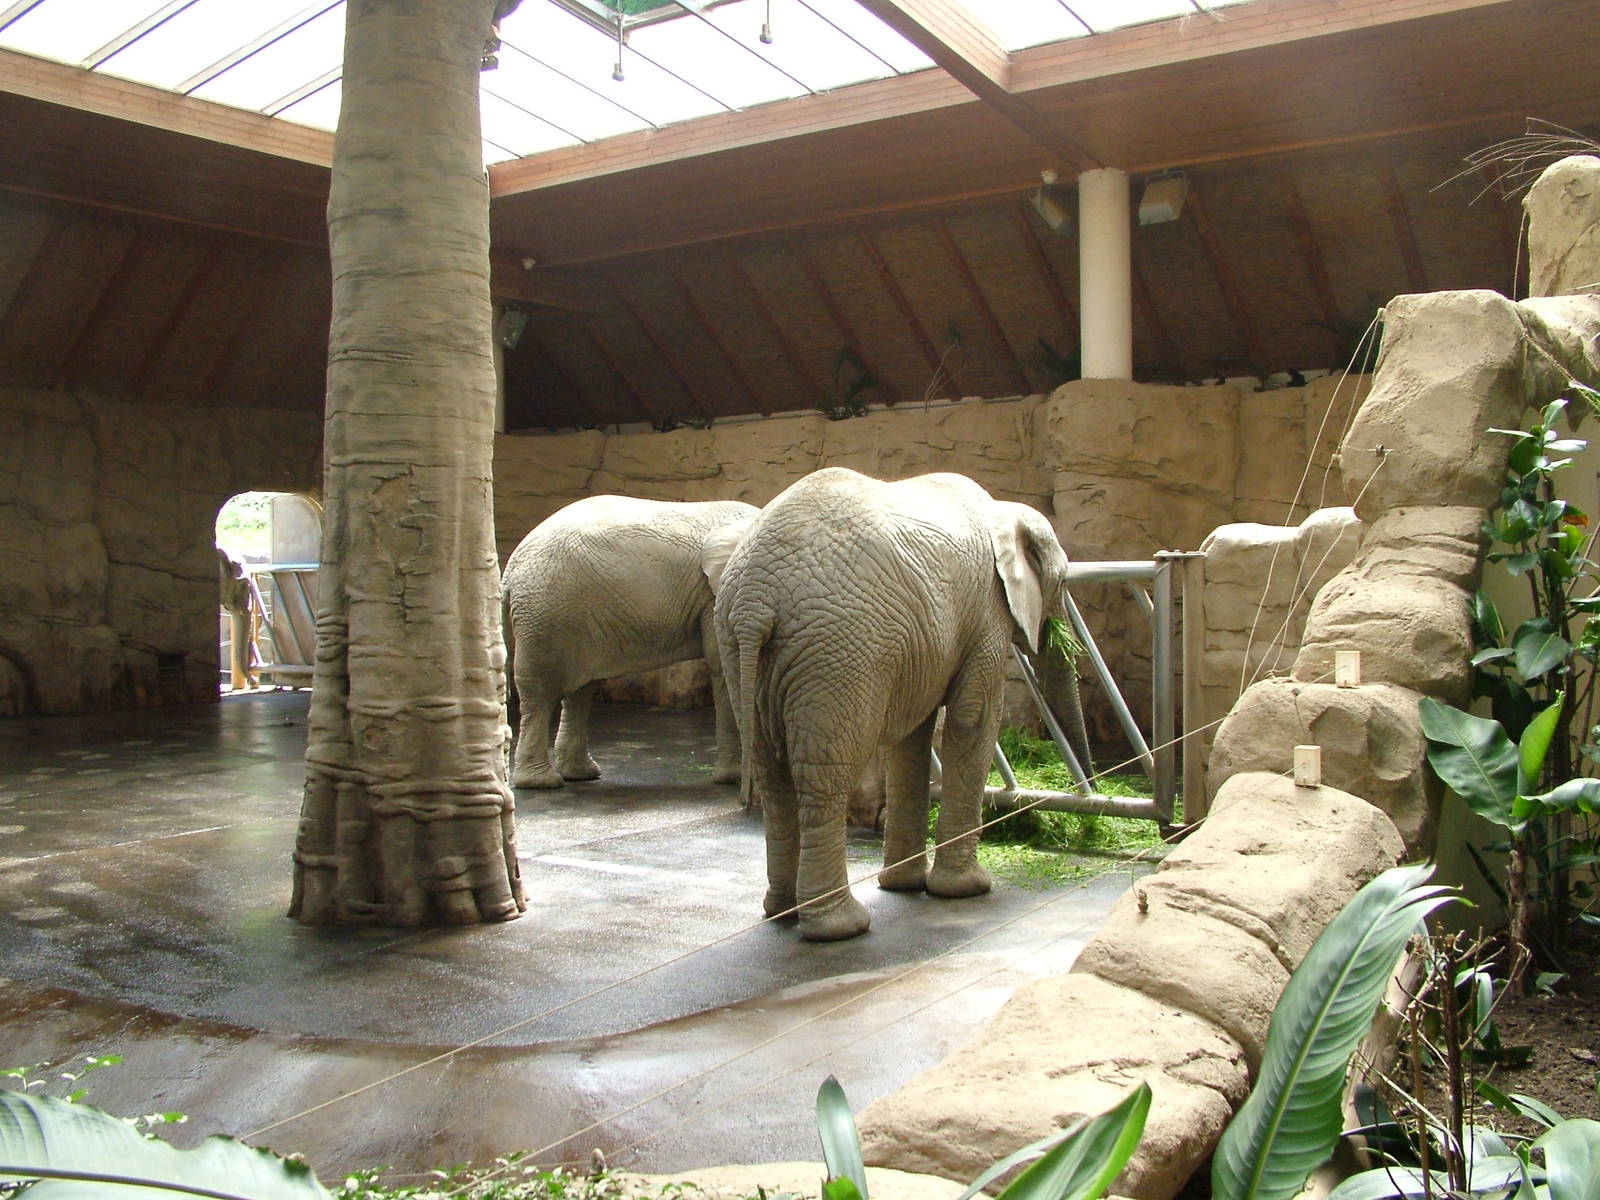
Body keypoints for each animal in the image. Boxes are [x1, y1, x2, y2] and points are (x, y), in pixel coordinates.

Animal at [502, 495, 757, 790]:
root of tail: (510, 568)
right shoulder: (715, 597)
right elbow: (724, 663)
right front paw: (733, 780)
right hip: (545, 612)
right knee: (540, 693)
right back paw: (540, 782)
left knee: (582, 691)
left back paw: (581, 773)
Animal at [709, 468, 1076, 942]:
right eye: (1064, 583)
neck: (1003, 510)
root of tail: (756, 599)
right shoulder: (986, 614)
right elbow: (971, 721)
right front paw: (967, 889)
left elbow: (912, 739)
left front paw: (904, 885)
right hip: (839, 650)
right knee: (824, 778)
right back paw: (840, 927)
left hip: (738, 648)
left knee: (773, 775)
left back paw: (783, 912)